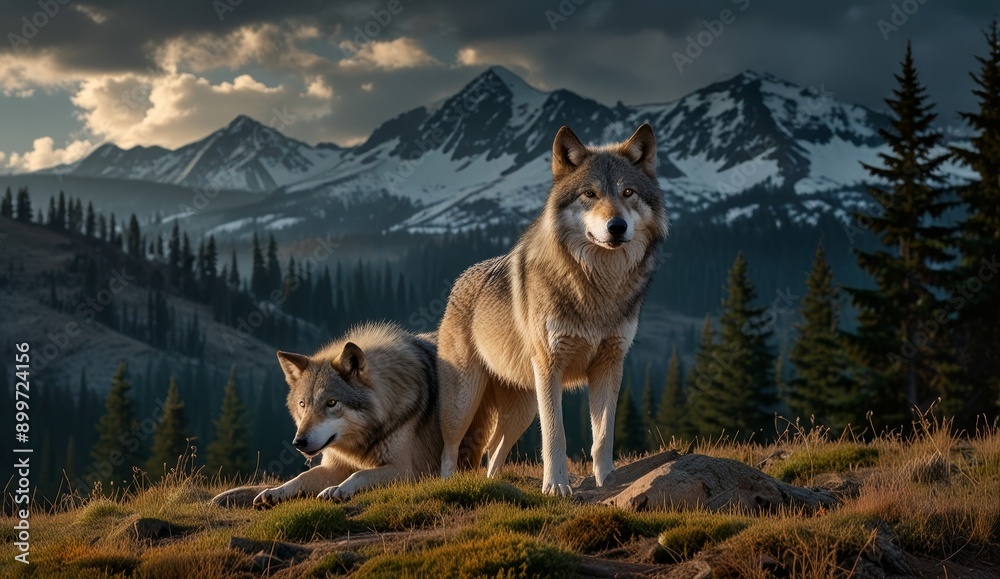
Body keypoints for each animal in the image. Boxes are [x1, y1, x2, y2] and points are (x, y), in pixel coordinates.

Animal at [253, 322, 440, 507]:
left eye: (331, 402)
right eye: (302, 404)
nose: (299, 442)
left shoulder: (405, 469)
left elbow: (359, 474)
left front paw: (338, 489)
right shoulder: (334, 466)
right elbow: (301, 477)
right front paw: (274, 492)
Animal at [437, 124, 668, 496]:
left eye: (628, 192)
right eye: (589, 194)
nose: (617, 226)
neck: (597, 287)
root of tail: (459, 281)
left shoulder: (609, 365)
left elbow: (603, 435)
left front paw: (608, 480)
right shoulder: (550, 367)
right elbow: (555, 435)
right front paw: (557, 487)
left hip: (522, 409)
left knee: (494, 452)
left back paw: (496, 485)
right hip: (464, 403)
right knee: (450, 450)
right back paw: (447, 486)